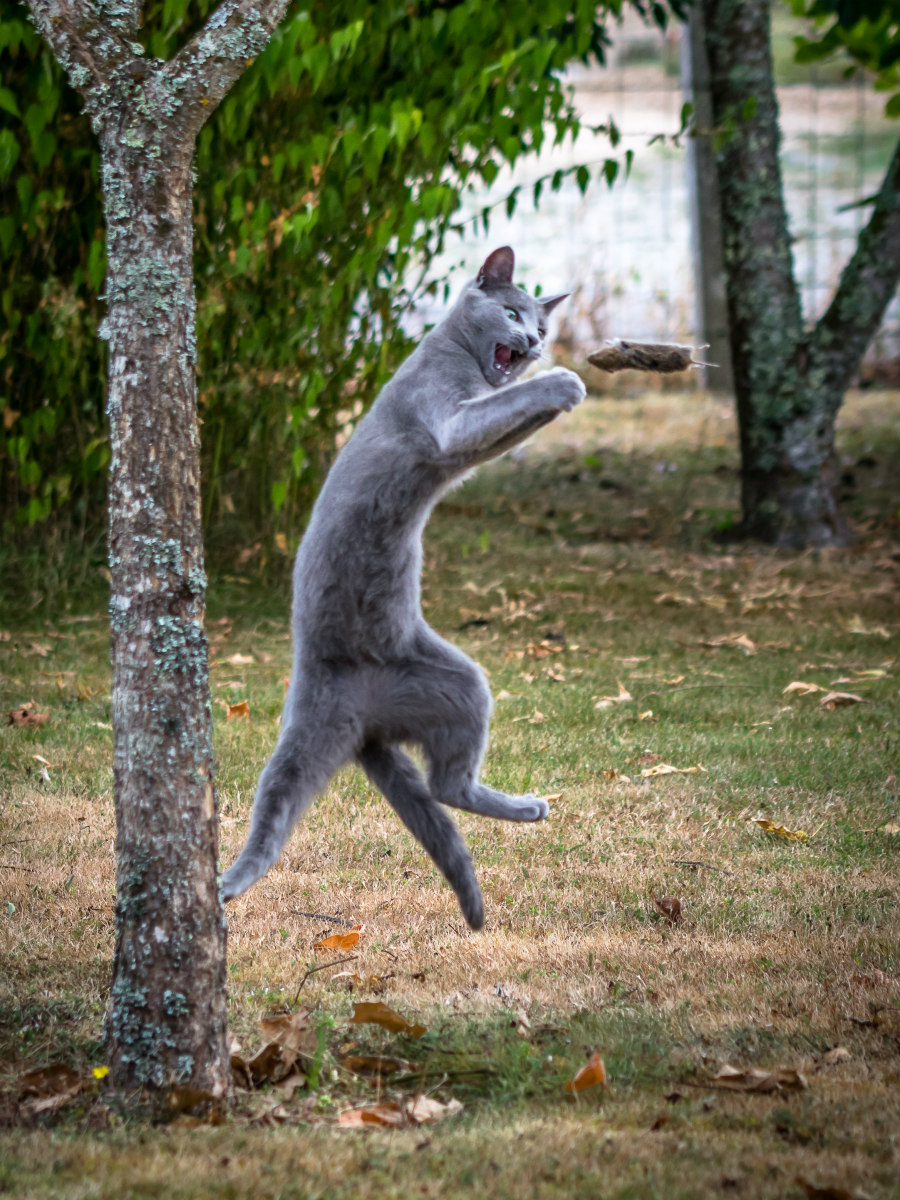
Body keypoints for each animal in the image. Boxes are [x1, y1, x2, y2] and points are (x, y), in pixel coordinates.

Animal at [222, 246, 586, 929]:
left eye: (542, 327)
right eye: (511, 313)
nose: (531, 344)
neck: (456, 354)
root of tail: (368, 724)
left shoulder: (473, 437)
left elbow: (509, 424)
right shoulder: (446, 417)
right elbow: (491, 414)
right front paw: (567, 383)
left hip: (450, 681)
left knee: (446, 784)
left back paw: (525, 807)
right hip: (329, 714)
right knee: (300, 798)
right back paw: (230, 882)